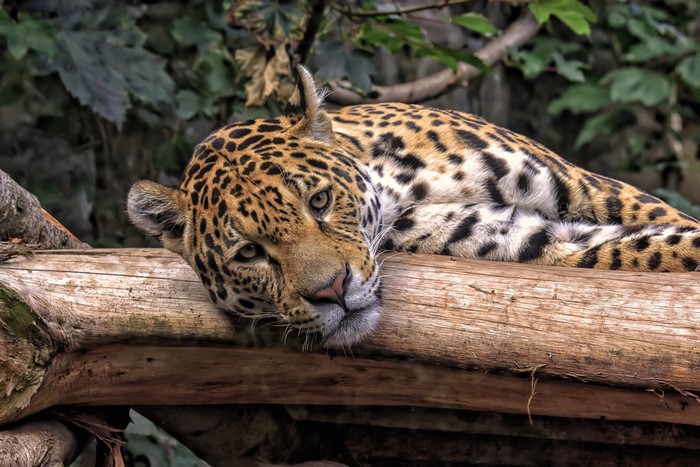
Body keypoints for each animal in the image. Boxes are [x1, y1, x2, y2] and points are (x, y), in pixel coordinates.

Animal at [128, 66, 700, 348]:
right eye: (248, 253)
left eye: (320, 201)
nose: (332, 292)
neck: (402, 188)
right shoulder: (519, 237)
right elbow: (649, 251)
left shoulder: (584, 186)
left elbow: (667, 226)